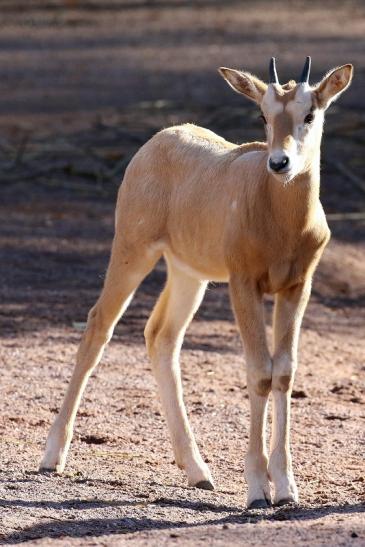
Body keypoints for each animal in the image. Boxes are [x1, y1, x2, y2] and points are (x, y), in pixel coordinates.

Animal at [39, 57, 352, 508]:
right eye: (263, 114)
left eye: (310, 114)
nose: (280, 163)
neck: (279, 216)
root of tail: (160, 139)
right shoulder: (244, 284)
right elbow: (260, 372)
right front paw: (257, 490)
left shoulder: (297, 287)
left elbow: (284, 372)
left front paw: (286, 488)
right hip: (133, 250)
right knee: (99, 325)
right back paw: (52, 457)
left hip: (190, 274)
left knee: (162, 336)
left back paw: (199, 471)